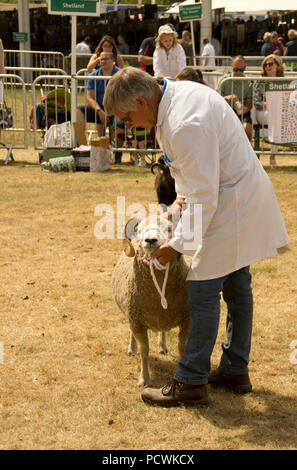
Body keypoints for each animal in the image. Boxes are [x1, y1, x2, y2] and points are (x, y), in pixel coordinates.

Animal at [111, 209, 190, 386]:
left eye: (169, 229)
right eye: (139, 229)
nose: (151, 240)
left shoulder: (187, 320)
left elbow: (182, 348)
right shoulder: (137, 321)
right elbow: (144, 350)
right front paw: (144, 379)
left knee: (163, 330)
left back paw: (162, 346)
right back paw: (131, 348)